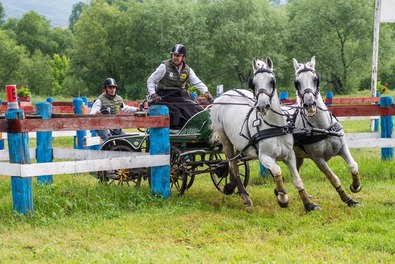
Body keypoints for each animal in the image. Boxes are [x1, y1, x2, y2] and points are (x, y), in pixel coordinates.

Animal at [210, 56, 322, 211]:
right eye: (253, 83)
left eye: (272, 81)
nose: (263, 106)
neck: (274, 126)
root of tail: (224, 95)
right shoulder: (264, 157)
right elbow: (277, 171)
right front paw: (282, 198)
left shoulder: (290, 156)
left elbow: (297, 180)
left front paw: (309, 204)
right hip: (224, 138)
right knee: (232, 165)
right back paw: (245, 197)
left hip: (239, 143)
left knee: (235, 163)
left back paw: (231, 187)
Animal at [292, 55, 364, 207]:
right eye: (297, 82)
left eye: (315, 79)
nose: (309, 105)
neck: (323, 128)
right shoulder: (318, 159)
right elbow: (333, 178)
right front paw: (347, 199)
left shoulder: (342, 146)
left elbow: (353, 166)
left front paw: (355, 186)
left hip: (297, 156)